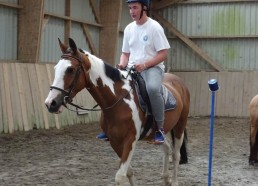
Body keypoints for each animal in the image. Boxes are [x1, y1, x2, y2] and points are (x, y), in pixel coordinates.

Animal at [44, 38, 190, 186]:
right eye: (56, 68)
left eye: (70, 69)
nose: (51, 103)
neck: (118, 99)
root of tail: (178, 81)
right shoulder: (115, 141)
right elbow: (128, 172)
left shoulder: (130, 140)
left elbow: (120, 176)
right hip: (158, 133)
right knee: (166, 148)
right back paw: (166, 178)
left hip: (179, 126)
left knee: (176, 154)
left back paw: (174, 181)